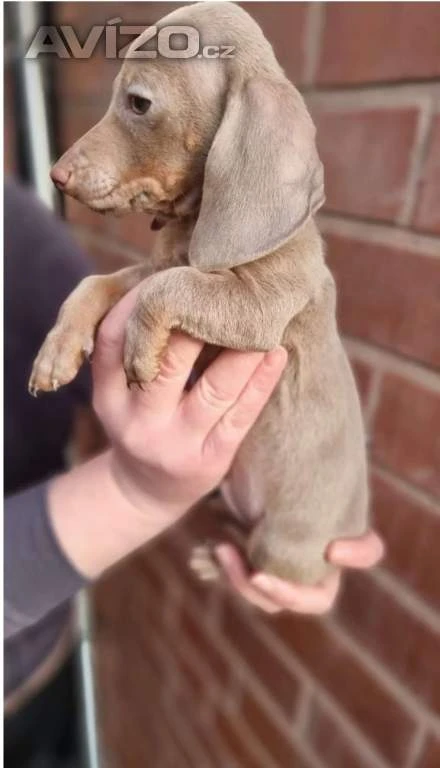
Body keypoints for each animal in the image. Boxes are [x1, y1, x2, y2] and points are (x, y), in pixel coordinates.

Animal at [29, 2, 369, 585]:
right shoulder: (154, 266)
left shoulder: (262, 305)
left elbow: (173, 286)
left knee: (264, 570)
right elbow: (95, 283)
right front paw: (57, 350)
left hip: (282, 545)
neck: (193, 223)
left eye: (139, 102)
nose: (57, 175)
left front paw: (141, 350)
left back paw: (221, 564)